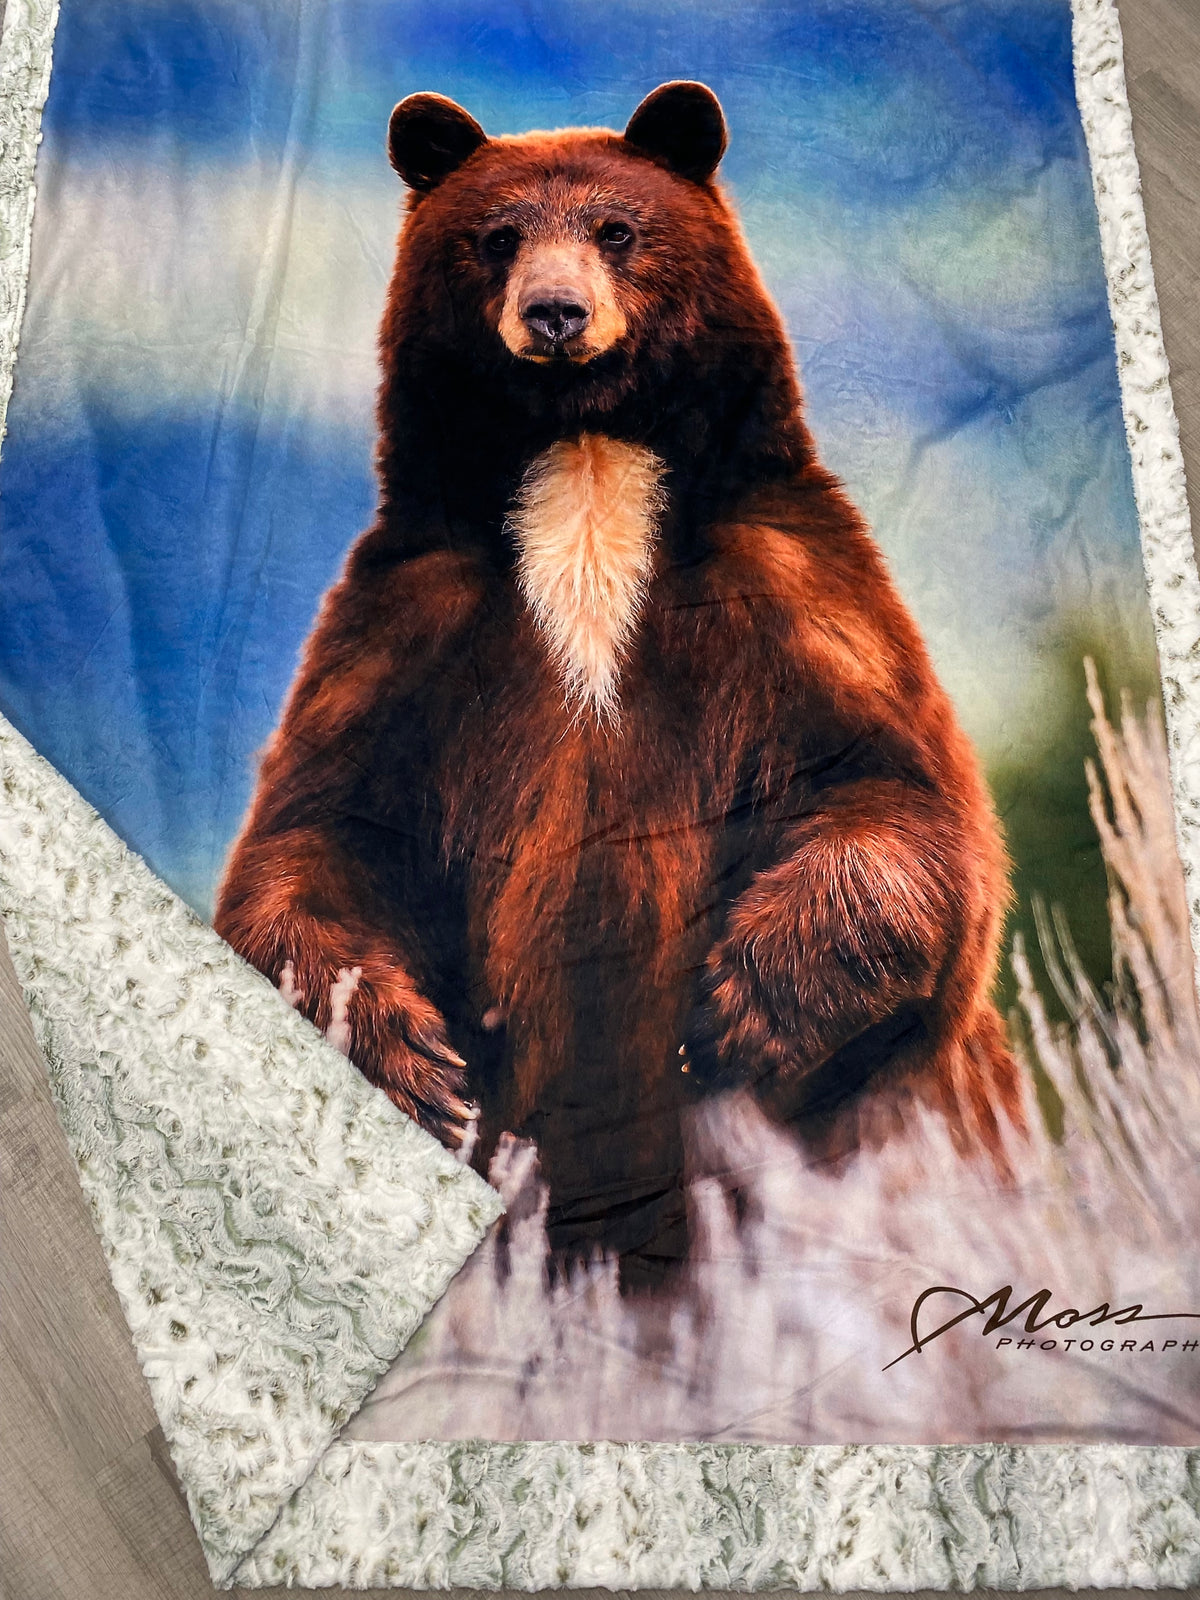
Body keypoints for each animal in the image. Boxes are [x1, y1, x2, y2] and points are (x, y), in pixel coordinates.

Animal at [214, 81, 1021, 1287]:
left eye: (616, 229)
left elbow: (897, 800)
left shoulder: (792, 590)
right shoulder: (409, 626)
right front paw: (415, 1061)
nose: (554, 313)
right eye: (498, 236)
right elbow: (315, 839)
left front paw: (742, 1004)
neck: (586, 469)